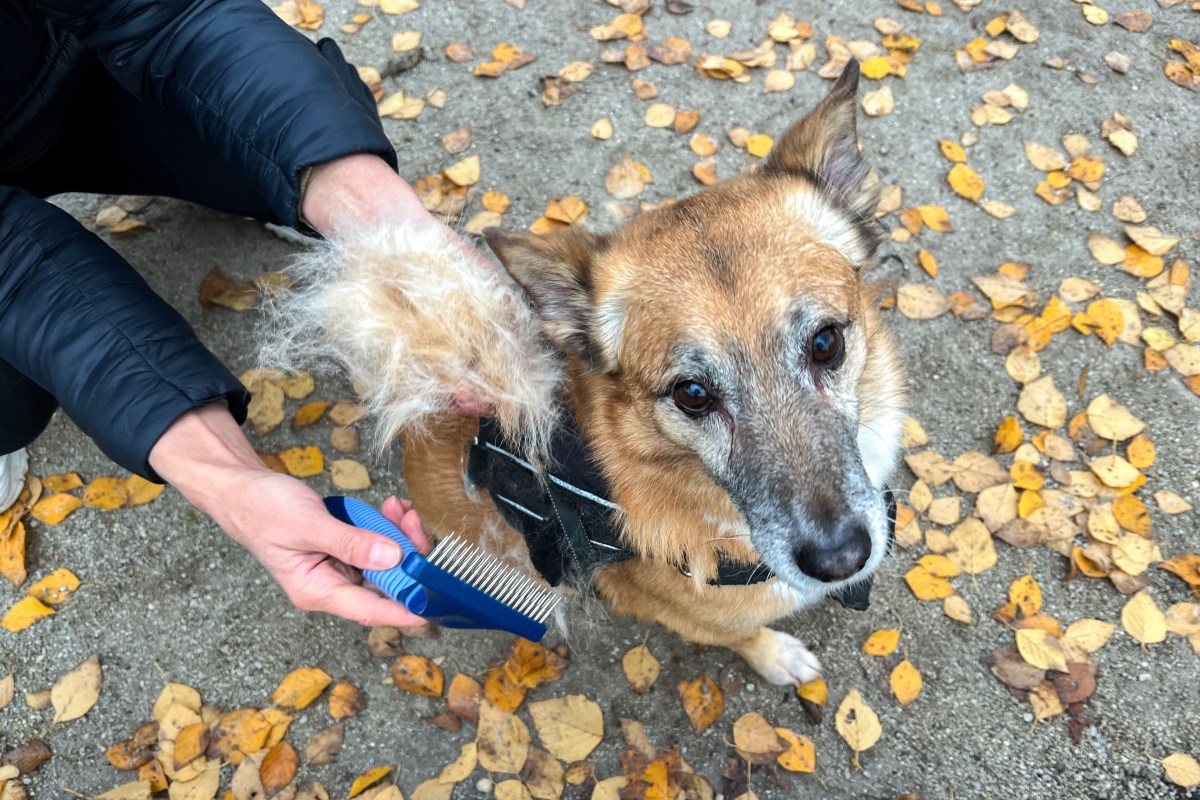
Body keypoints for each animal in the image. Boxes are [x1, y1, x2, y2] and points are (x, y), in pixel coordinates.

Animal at [388, 61, 902, 690]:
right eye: (692, 394)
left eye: (826, 343)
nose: (841, 560)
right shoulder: (693, 617)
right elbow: (745, 635)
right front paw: (777, 655)